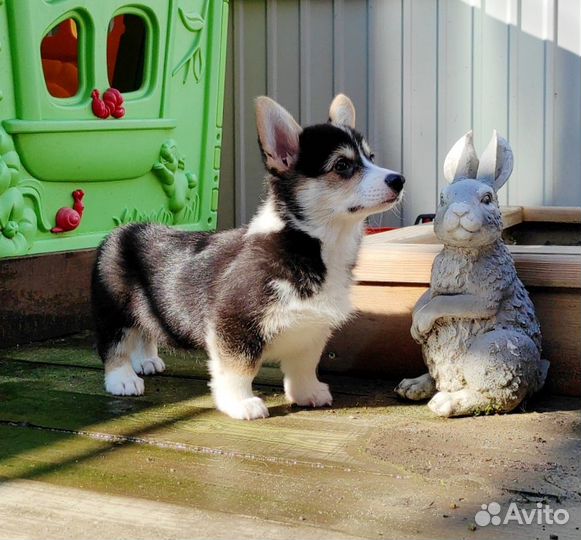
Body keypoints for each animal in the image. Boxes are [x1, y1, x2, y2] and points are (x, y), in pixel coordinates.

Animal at [94, 95, 404, 420]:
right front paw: (241, 403)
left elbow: (303, 366)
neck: (310, 244)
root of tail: (126, 229)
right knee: (114, 345)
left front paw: (308, 393)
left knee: (146, 329)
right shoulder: (234, 325)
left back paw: (146, 361)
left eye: (371, 156)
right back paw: (123, 379)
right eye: (342, 165)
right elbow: (238, 369)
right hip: (114, 310)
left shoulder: (311, 330)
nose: (400, 180)